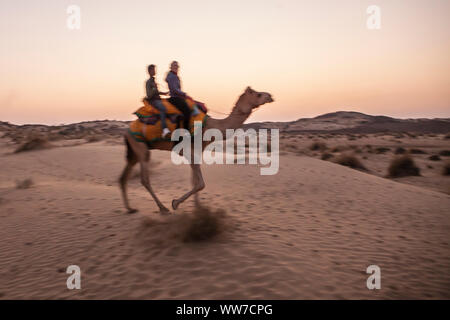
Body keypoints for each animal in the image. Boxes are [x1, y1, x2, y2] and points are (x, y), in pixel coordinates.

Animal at [119, 86, 272, 214]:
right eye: (258, 94)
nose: (270, 95)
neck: (209, 127)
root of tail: (127, 131)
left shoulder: (196, 153)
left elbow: (194, 181)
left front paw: (198, 207)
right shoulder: (188, 151)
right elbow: (200, 183)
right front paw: (175, 203)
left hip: (134, 151)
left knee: (123, 177)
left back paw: (130, 208)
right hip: (141, 147)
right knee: (144, 179)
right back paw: (162, 208)